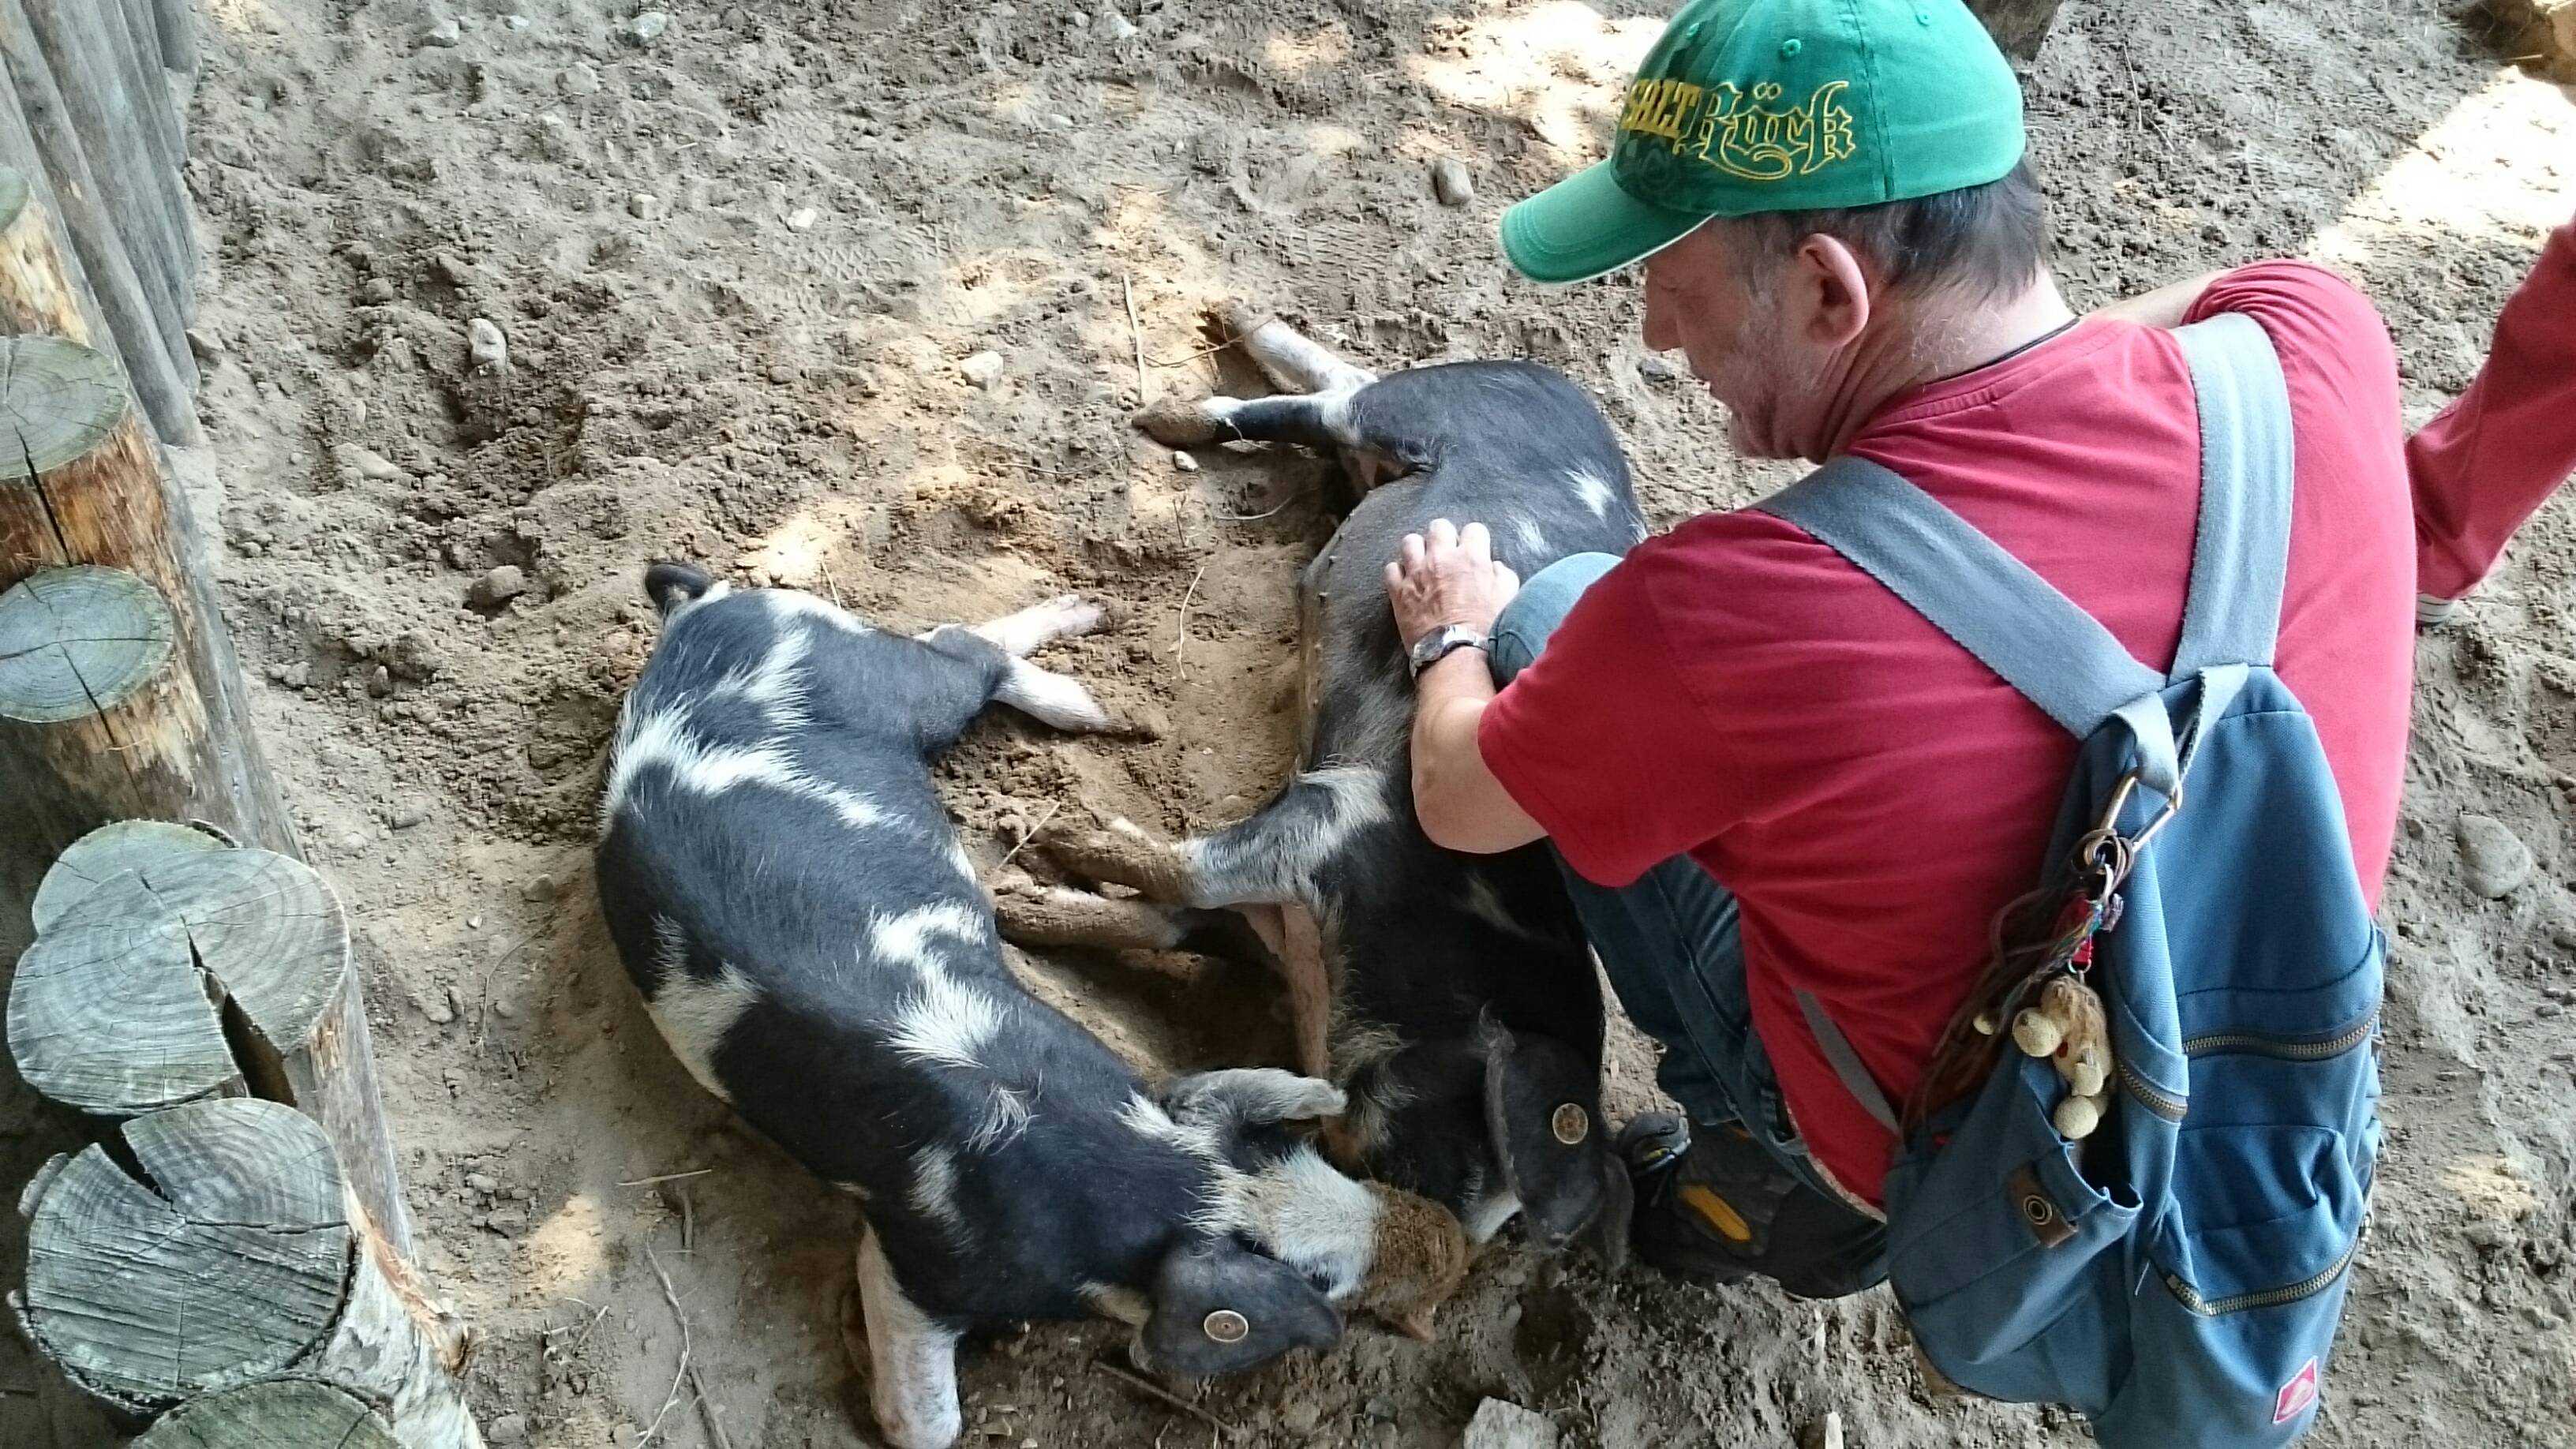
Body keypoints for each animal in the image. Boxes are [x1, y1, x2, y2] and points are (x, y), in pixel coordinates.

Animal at [590, 564, 1462, 1443]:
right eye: (1318, 1280)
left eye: (1298, 1152)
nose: (1449, 1244)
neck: (1145, 1172)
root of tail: (708, 608)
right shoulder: (920, 1262)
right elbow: (930, 1425)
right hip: (889, 682)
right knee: (956, 648)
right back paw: (1101, 700)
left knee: (954, 640)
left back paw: (1100, 670)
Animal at [994, 306, 1638, 1263]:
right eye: (1472, 1140)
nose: (1431, 1241)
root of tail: (1554, 383)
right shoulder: (1338, 813)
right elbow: (1191, 870)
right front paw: (1056, 835)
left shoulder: (1272, 915)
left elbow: (1160, 919)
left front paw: (1021, 906)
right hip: (1417, 412)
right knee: (1326, 402)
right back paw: (1177, 396)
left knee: (1339, 389)